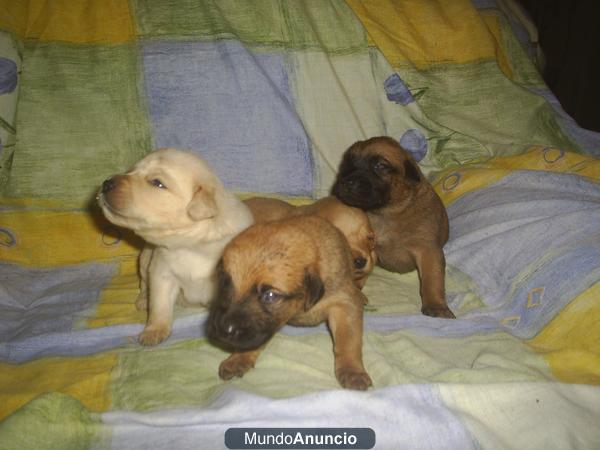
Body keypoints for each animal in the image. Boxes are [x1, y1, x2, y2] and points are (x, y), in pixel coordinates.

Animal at [95, 149, 253, 344]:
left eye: (157, 182)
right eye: (131, 171)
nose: (106, 182)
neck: (191, 242)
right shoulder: (161, 271)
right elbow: (159, 305)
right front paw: (154, 331)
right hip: (145, 259)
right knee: (144, 282)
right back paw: (143, 300)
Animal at [209, 214, 372, 390]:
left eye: (270, 295)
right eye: (225, 283)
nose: (223, 329)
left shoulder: (344, 303)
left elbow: (348, 339)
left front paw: (352, 371)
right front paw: (238, 359)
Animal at [330, 135, 452, 318]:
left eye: (380, 166)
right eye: (347, 163)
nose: (346, 182)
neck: (384, 212)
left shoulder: (428, 251)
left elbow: (432, 279)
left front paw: (436, 306)